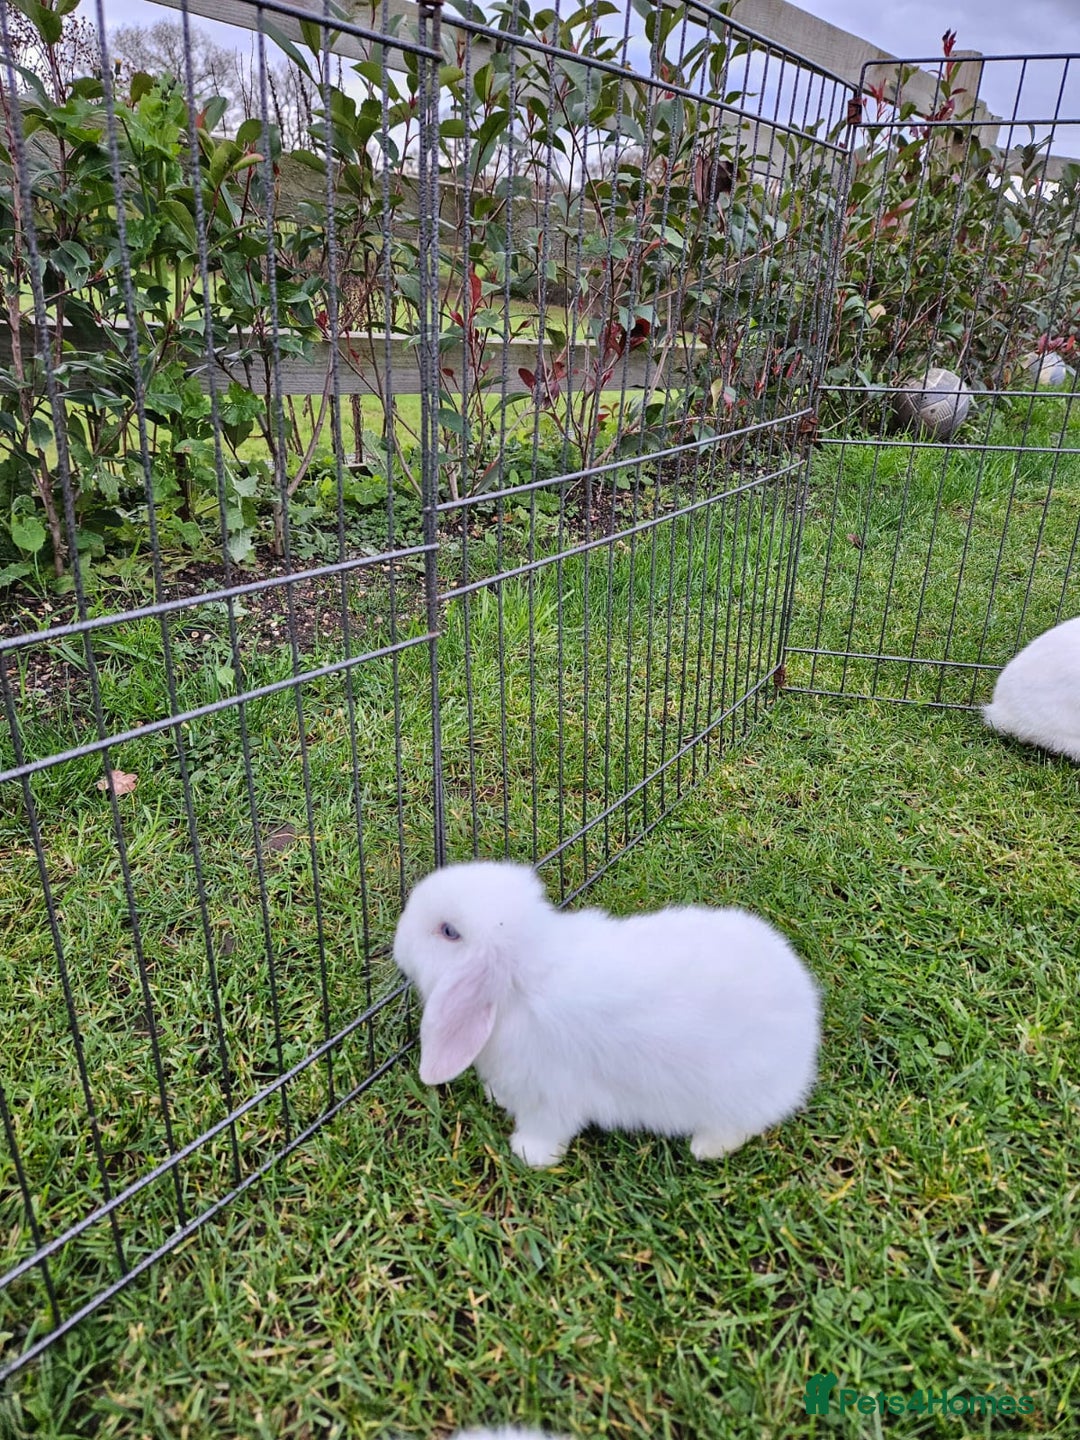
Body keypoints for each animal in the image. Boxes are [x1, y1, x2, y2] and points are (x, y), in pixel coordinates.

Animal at [393, 860, 821, 1167]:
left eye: (449, 932)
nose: (398, 941)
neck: (522, 979)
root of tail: (807, 1016)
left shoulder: (550, 1097)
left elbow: (546, 1130)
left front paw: (528, 1155)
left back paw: (706, 1147)